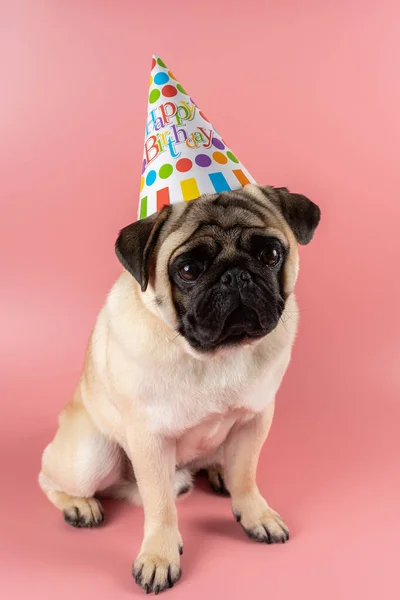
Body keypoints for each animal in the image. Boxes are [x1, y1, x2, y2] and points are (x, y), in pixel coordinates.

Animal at [39, 184, 320, 596]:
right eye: (188, 270)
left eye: (270, 254)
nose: (235, 276)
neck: (216, 356)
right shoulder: (150, 440)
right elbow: (160, 506)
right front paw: (159, 556)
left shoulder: (255, 420)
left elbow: (245, 475)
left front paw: (255, 514)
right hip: (91, 456)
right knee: (51, 478)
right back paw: (79, 505)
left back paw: (218, 472)